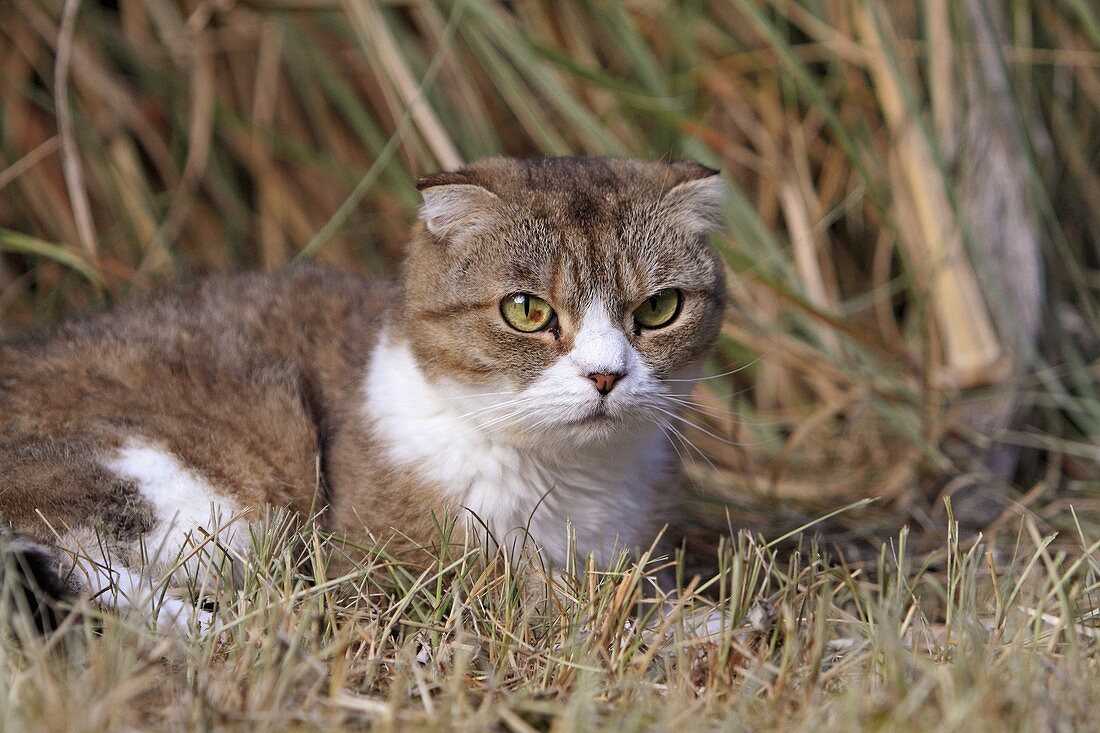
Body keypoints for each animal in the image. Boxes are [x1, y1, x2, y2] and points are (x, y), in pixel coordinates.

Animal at [0, 155, 726, 629]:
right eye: (526, 310)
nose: (606, 375)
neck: (570, 475)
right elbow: (533, 599)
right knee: (75, 562)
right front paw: (693, 627)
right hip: (190, 487)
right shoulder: (384, 551)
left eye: (659, 308)